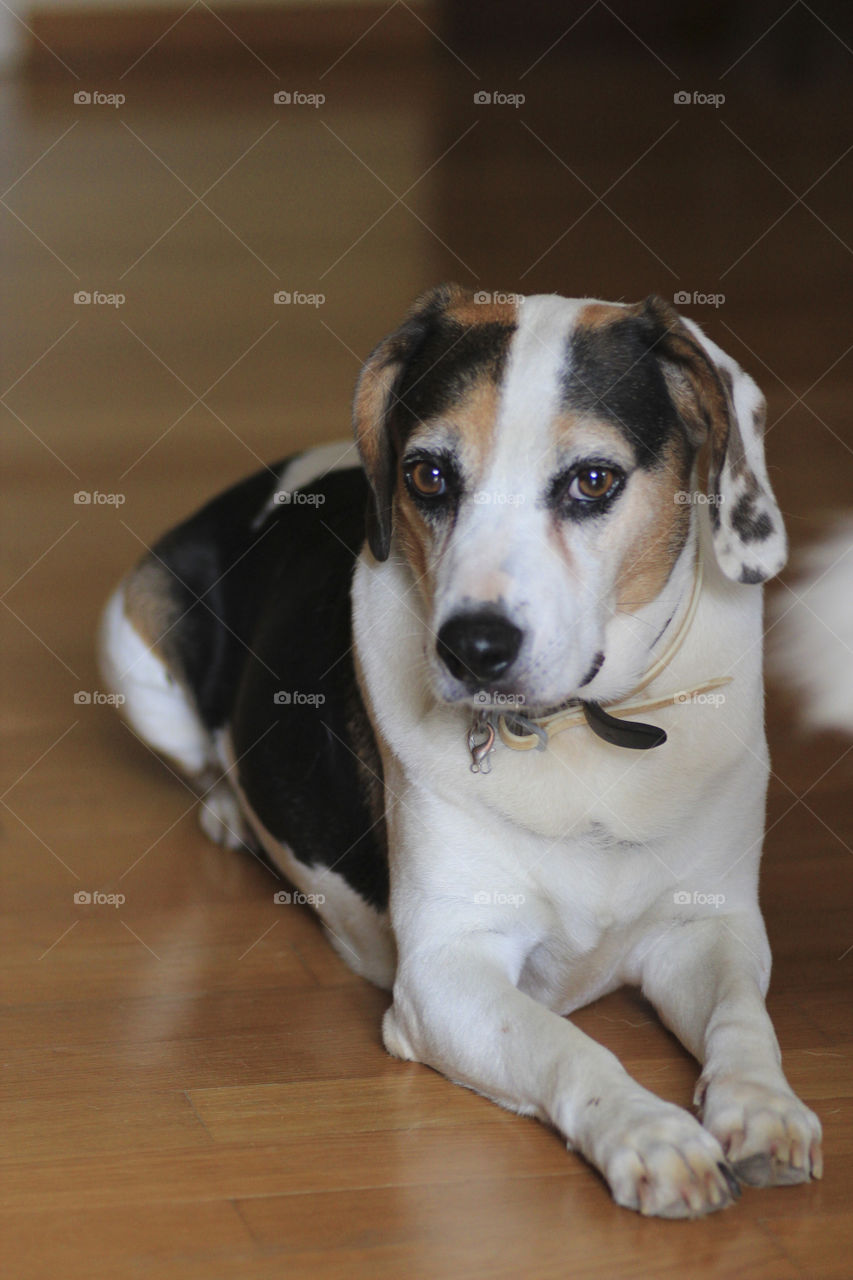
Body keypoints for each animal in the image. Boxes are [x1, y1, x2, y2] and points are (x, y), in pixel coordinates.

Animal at [97, 288, 819, 1218]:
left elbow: (742, 1020)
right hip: (132, 639)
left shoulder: (709, 926)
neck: (579, 735)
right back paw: (228, 809)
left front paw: (764, 1107)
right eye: (428, 475)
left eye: (593, 480)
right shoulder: (446, 970)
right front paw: (649, 1134)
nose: (472, 647)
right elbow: (563, 1044)